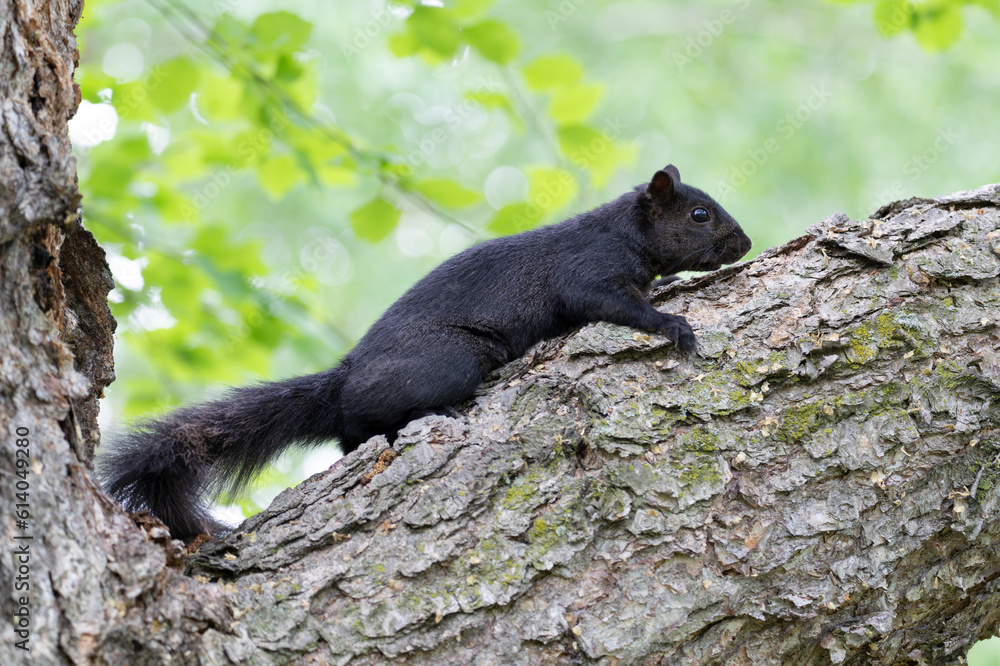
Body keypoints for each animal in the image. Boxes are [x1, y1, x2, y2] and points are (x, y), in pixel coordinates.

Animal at [98, 164, 752, 539]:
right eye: (699, 214)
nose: (744, 243)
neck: (624, 231)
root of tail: (342, 379)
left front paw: (669, 286)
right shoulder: (586, 270)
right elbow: (611, 302)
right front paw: (671, 322)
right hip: (449, 361)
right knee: (363, 423)